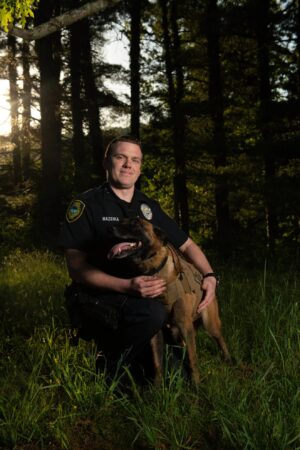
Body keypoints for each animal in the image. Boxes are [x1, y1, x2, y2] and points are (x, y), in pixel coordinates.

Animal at [109, 217, 231, 384]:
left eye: (135, 223)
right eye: (121, 221)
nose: (111, 227)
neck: (153, 270)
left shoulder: (185, 325)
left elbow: (193, 359)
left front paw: (196, 385)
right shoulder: (157, 333)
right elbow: (157, 362)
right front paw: (157, 387)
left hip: (209, 323)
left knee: (220, 339)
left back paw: (228, 359)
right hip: (175, 330)